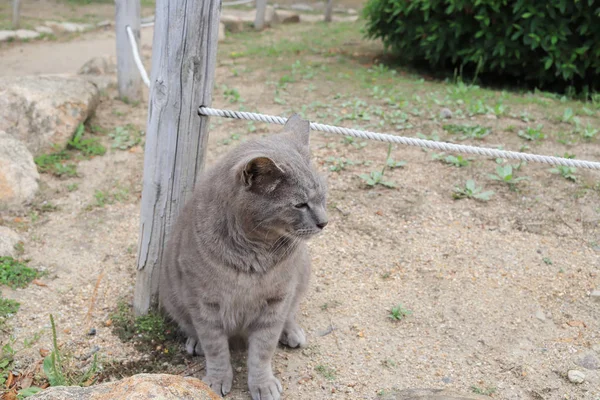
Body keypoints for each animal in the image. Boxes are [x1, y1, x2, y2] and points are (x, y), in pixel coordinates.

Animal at [158, 114, 328, 398]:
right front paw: (217, 379)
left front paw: (263, 384)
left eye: (323, 197)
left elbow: (263, 350)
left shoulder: (276, 301)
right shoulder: (204, 303)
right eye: (300, 204)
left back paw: (292, 332)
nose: (324, 222)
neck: (255, 254)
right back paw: (195, 343)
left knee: (291, 313)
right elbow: (215, 348)